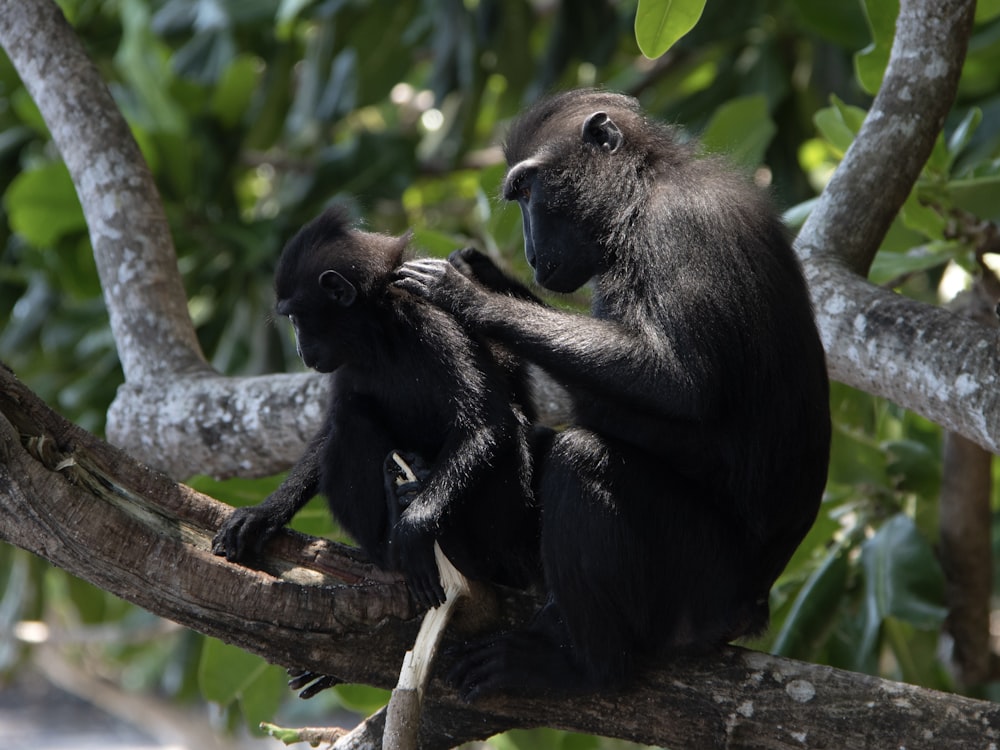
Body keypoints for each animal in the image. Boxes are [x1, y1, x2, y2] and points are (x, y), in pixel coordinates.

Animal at [211, 207, 540, 612]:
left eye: (296, 318)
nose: (300, 350)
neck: (380, 334)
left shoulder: (433, 326)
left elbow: (487, 424)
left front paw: (414, 526)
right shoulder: (347, 364)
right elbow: (327, 433)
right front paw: (263, 514)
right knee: (351, 414)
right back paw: (391, 540)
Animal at [394, 91, 832, 704]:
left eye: (527, 189)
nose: (529, 252)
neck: (644, 191)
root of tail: (753, 605)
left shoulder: (677, 228)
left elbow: (677, 382)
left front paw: (468, 295)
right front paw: (486, 274)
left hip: (698, 584)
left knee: (582, 460)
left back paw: (584, 668)